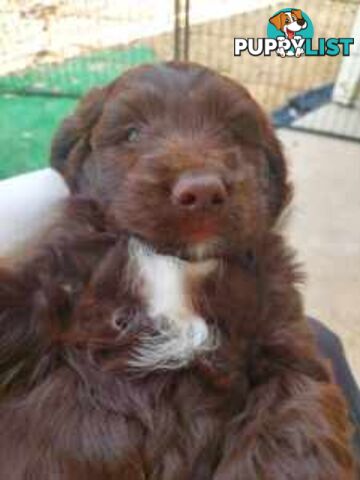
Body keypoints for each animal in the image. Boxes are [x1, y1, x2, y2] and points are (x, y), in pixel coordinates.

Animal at [0, 62, 354, 478]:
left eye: (234, 132)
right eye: (132, 133)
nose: (201, 191)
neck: (177, 264)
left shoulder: (285, 343)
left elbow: (291, 435)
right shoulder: (53, 281)